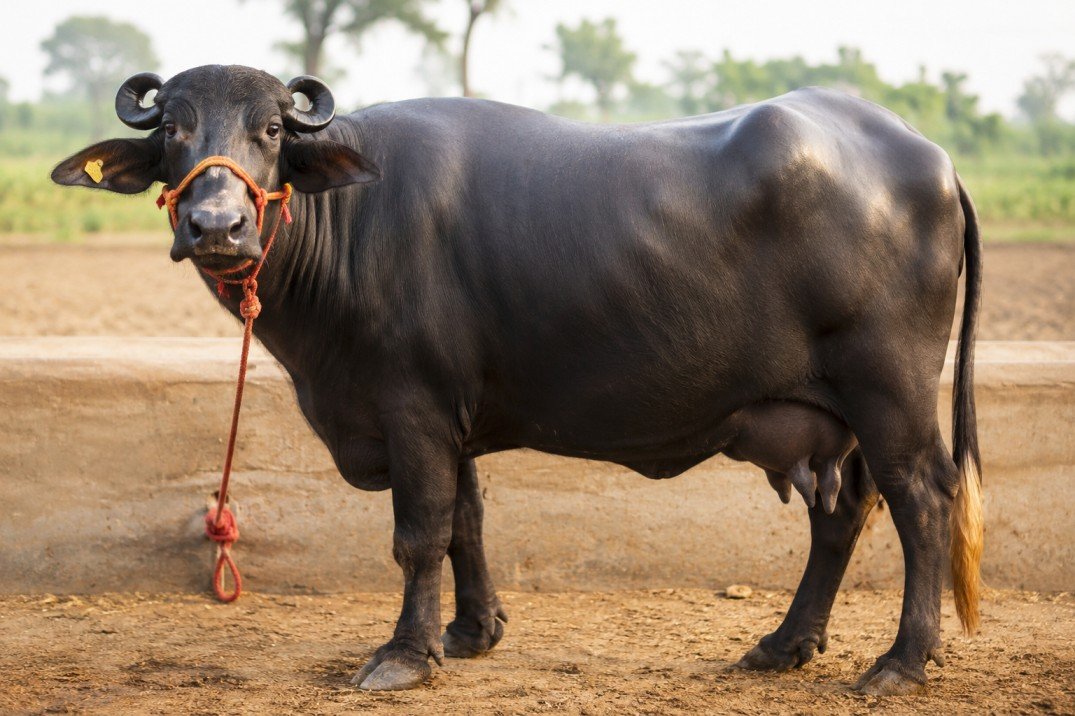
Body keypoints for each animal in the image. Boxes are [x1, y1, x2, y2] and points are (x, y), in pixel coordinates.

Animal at [53, 65, 982, 695]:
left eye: (273, 131)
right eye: (174, 130)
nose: (217, 225)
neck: (348, 222)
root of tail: (926, 156)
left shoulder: (411, 407)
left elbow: (419, 533)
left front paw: (405, 654)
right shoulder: (449, 416)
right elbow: (467, 521)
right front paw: (472, 631)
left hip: (889, 390)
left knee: (920, 498)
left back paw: (900, 661)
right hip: (832, 412)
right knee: (845, 511)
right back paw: (784, 644)